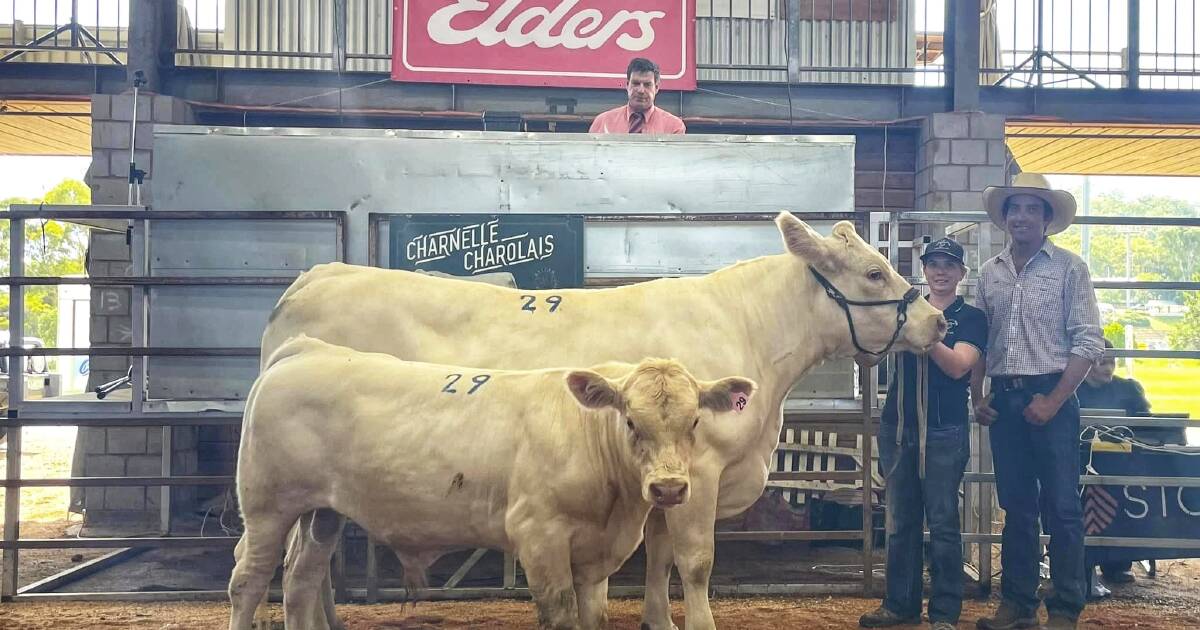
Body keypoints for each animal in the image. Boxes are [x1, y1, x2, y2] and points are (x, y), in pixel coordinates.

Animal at [229, 336, 753, 628]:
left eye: (694, 422)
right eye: (629, 421)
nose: (668, 490)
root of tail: (307, 350)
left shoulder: (594, 553)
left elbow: (592, 615)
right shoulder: (539, 537)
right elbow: (560, 614)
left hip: (322, 512)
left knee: (300, 580)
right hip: (267, 506)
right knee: (248, 581)